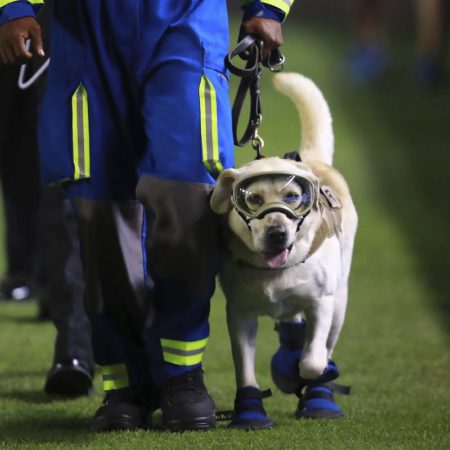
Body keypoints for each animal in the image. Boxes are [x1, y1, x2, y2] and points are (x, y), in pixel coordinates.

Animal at [211, 72, 358, 428]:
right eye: (252, 198)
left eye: (293, 197)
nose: (277, 233)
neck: (275, 272)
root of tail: (313, 160)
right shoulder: (240, 314)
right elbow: (244, 368)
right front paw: (250, 411)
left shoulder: (322, 304)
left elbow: (314, 361)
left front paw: (301, 376)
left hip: (340, 301)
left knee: (322, 346)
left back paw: (316, 395)